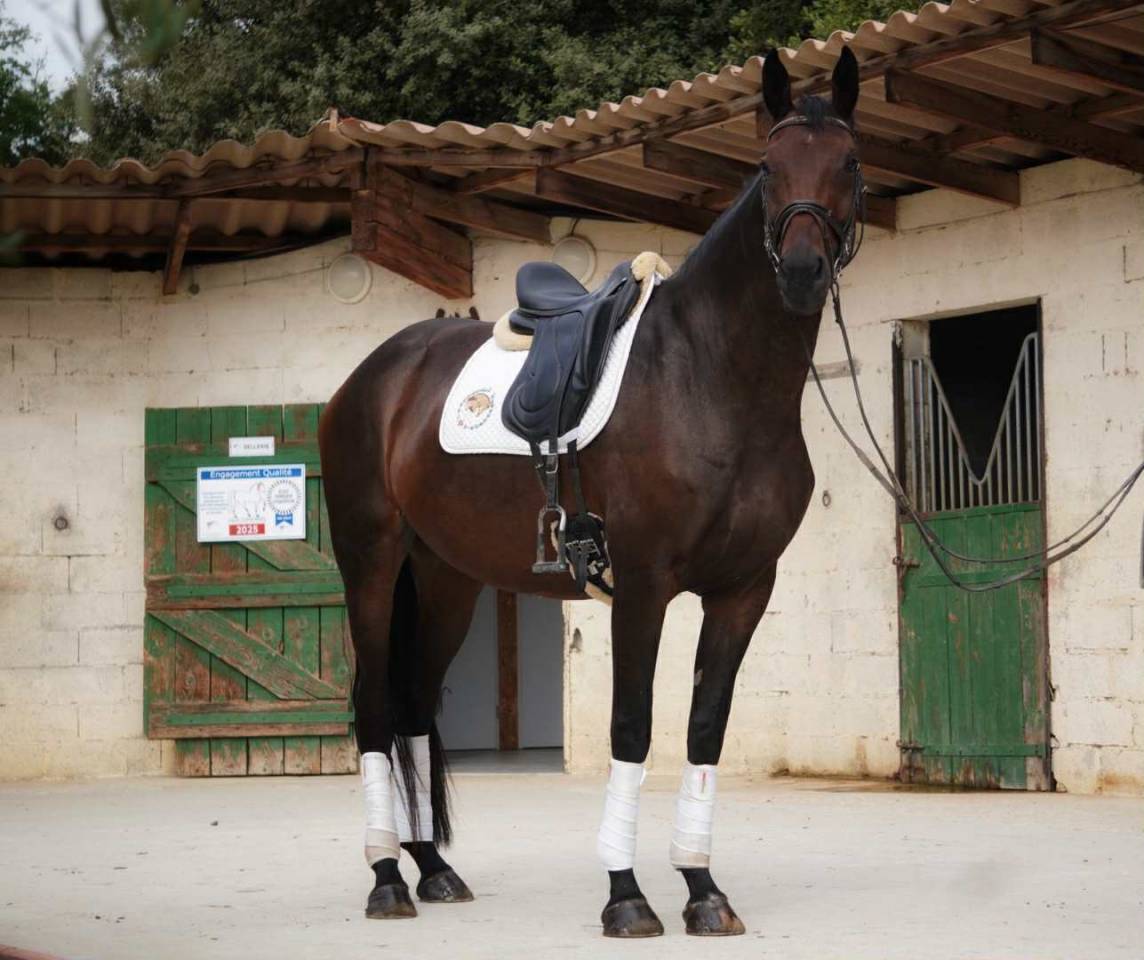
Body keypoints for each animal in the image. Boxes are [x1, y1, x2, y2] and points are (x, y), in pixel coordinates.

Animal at [318, 46, 864, 937]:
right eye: (767, 165)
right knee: (371, 704)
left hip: (445, 580)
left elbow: (703, 731)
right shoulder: (642, 588)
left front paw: (703, 889)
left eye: (848, 161)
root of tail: (371, 377)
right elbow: (632, 728)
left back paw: (434, 869)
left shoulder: (744, 590)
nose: (803, 271)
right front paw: (627, 895)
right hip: (369, 564)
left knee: (413, 704)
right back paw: (387, 880)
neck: (712, 377)